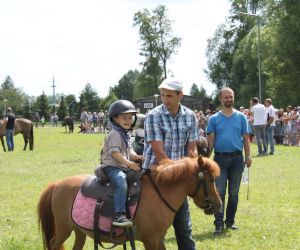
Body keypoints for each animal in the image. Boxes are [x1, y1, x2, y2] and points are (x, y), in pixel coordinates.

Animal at [37, 156, 220, 250]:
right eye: (210, 179)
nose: (218, 205)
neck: (159, 193)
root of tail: (58, 184)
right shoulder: (150, 239)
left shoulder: (159, 238)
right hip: (63, 230)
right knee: (53, 244)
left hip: (78, 230)